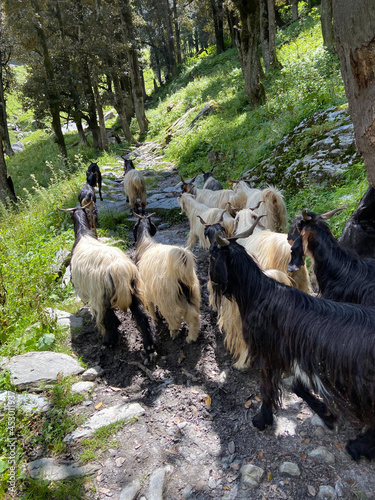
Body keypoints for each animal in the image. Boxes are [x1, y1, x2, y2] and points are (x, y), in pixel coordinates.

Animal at [134, 213, 201, 342]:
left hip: (169, 299)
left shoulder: (147, 291)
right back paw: (191, 337)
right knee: (194, 315)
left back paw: (174, 332)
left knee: (175, 318)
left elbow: (150, 307)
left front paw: (155, 320)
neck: (145, 242)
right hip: (190, 294)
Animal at [210, 227, 375, 460]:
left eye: (213, 255)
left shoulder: (268, 352)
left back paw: (359, 446)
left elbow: (267, 387)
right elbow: (297, 386)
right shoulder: (290, 356)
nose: (212, 281)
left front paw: (262, 418)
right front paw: (326, 413)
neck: (258, 293)